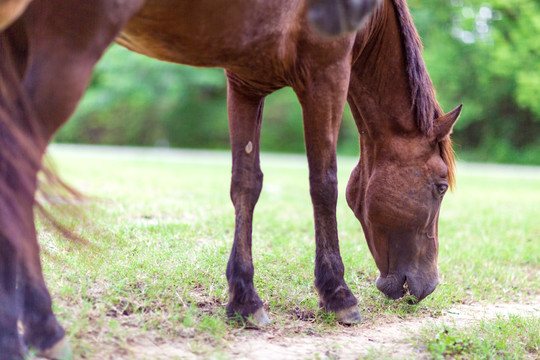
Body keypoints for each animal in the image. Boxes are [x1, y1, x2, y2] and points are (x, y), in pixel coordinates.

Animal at [0, 0, 460, 358]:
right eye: (440, 187)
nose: (429, 285)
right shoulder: (326, 74)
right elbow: (323, 183)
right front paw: (337, 294)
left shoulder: (245, 82)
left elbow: (246, 185)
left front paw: (244, 299)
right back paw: (43, 327)